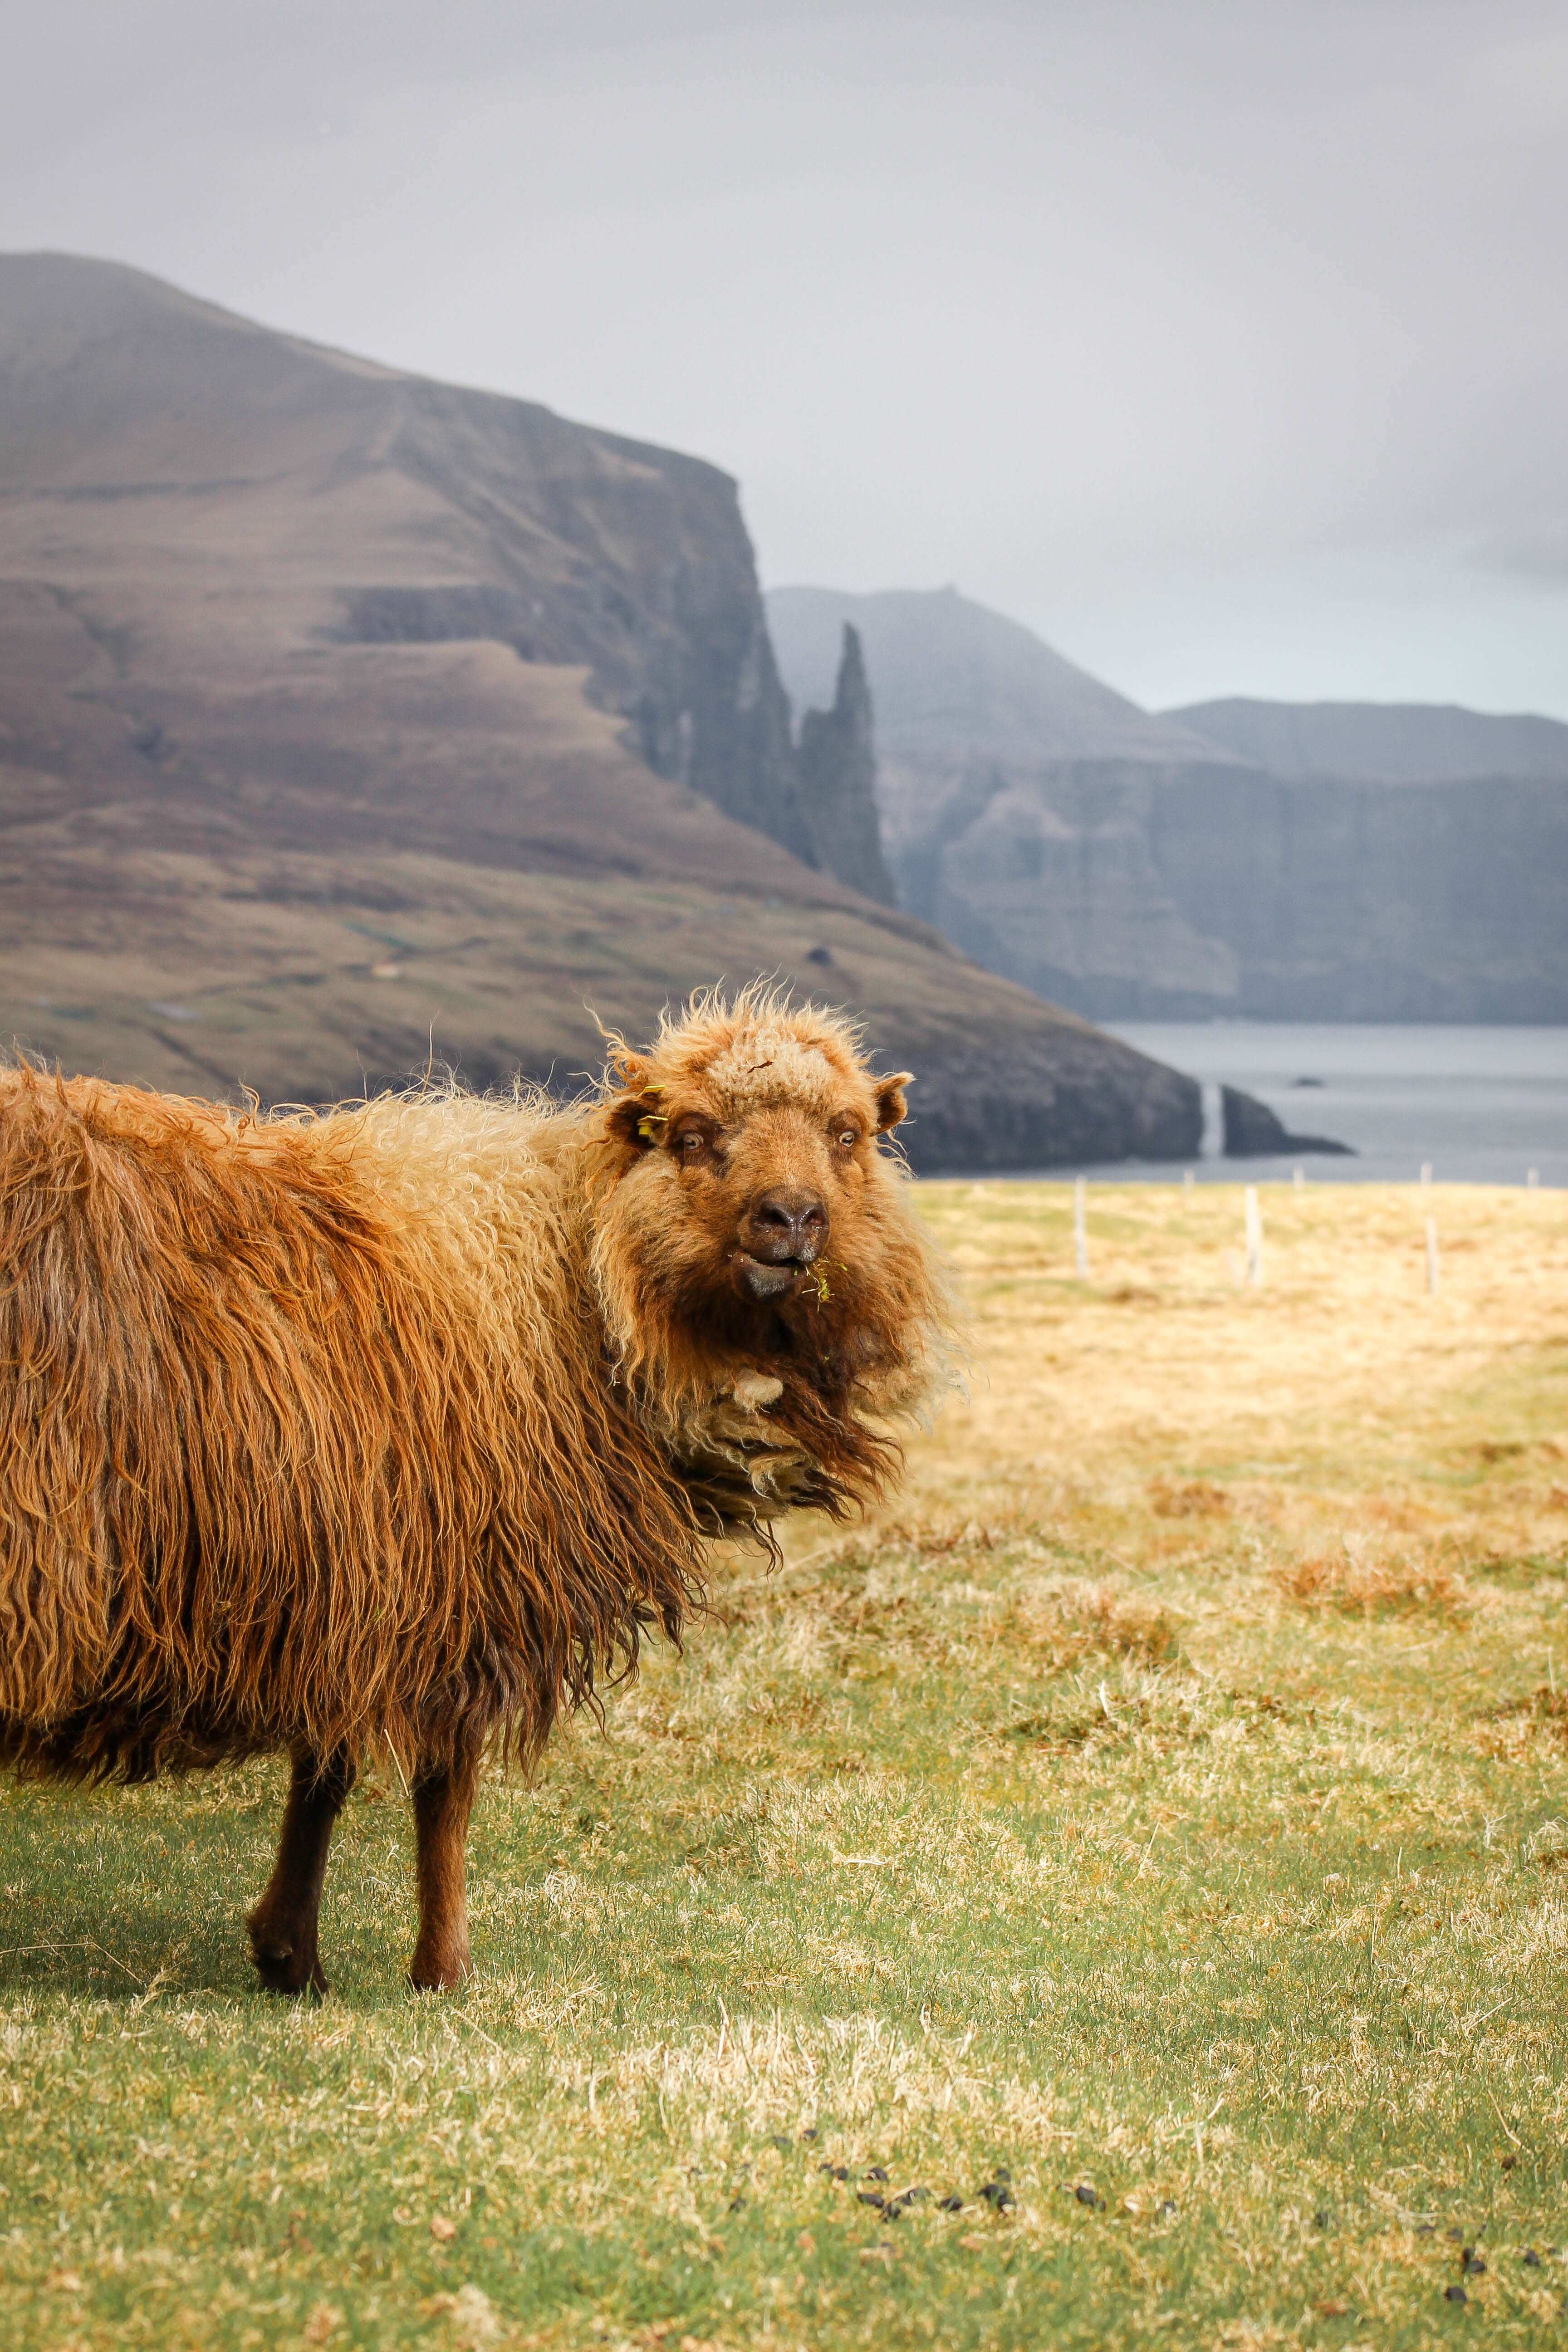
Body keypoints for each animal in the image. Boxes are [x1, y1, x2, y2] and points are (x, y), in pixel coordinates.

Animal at [0, 983, 959, 1994]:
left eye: (848, 1132)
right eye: (693, 1134)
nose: (792, 1218)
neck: (575, 1288)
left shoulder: (364, 1585)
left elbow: (326, 1770)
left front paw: (289, 1952)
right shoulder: (469, 1584)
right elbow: (441, 1788)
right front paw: (441, 1967)